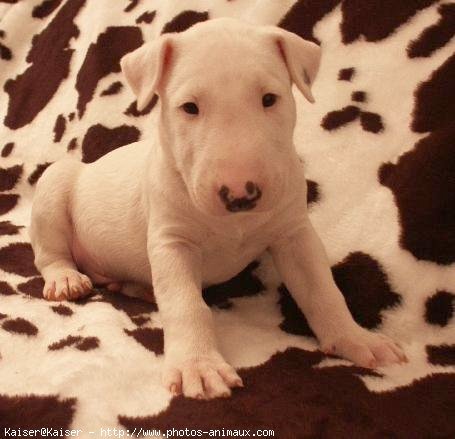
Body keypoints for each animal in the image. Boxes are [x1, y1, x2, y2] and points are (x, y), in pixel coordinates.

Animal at [29, 18, 406, 400]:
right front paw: (198, 366)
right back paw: (66, 280)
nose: (240, 194)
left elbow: (322, 289)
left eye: (269, 99)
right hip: (54, 187)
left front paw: (357, 339)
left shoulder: (294, 234)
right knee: (49, 254)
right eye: (189, 107)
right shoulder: (172, 242)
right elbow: (185, 304)